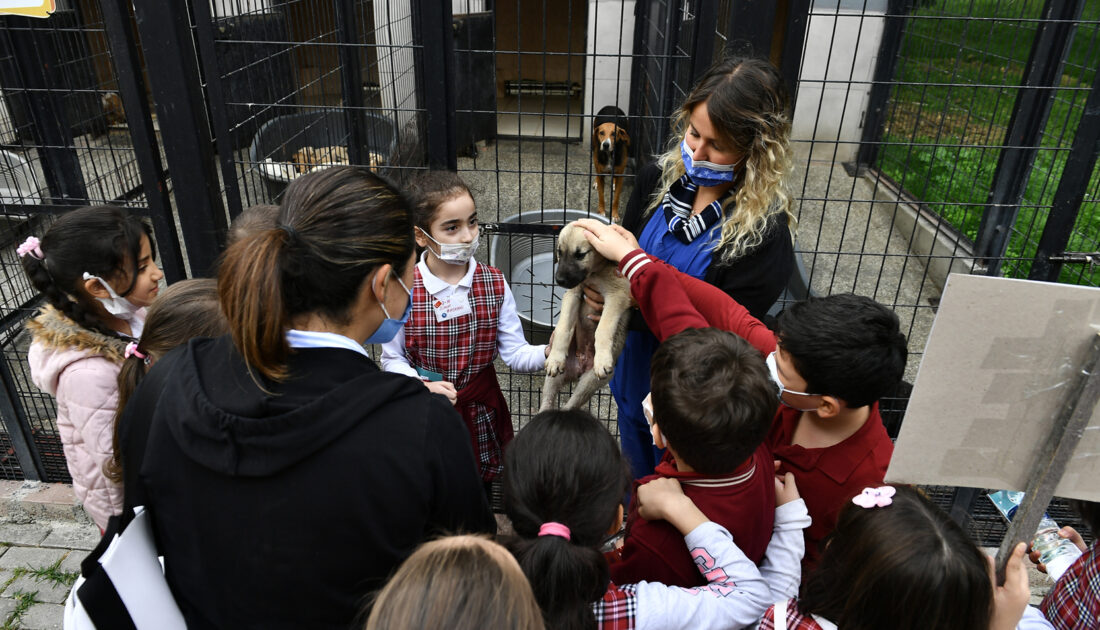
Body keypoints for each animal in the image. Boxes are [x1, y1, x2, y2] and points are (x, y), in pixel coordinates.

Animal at [539, 222, 633, 413]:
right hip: (554, 379)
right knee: (547, 401)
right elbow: (563, 327)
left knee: (571, 405)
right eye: (559, 252)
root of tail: (578, 369)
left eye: (580, 255)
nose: (559, 280)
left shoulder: (617, 295)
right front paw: (555, 357)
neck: (595, 273)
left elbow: (603, 328)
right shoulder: (573, 293)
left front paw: (602, 358)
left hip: (591, 381)